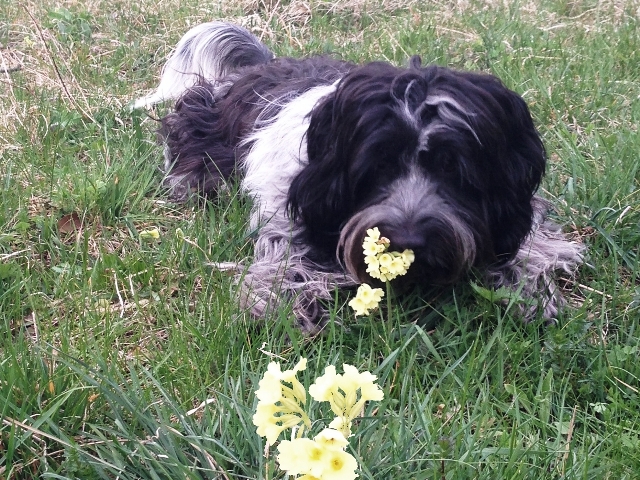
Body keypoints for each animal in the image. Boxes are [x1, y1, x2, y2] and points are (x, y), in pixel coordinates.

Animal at [135, 21, 584, 334]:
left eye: (452, 168)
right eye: (378, 165)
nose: (409, 239)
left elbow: (533, 239)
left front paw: (530, 281)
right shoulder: (291, 209)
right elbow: (285, 257)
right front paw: (280, 302)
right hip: (205, 119)